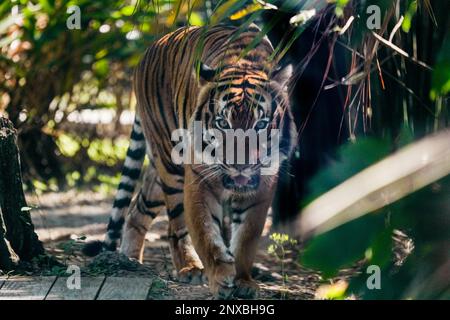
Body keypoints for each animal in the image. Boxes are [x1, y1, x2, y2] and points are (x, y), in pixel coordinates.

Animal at [83, 23, 298, 298]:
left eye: (260, 124)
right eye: (222, 123)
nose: (240, 165)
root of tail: (151, 48)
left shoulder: (264, 184)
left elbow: (247, 236)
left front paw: (243, 281)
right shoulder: (199, 178)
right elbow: (205, 233)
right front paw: (220, 279)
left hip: (157, 176)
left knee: (136, 210)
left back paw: (129, 261)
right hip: (170, 162)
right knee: (175, 225)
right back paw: (189, 268)